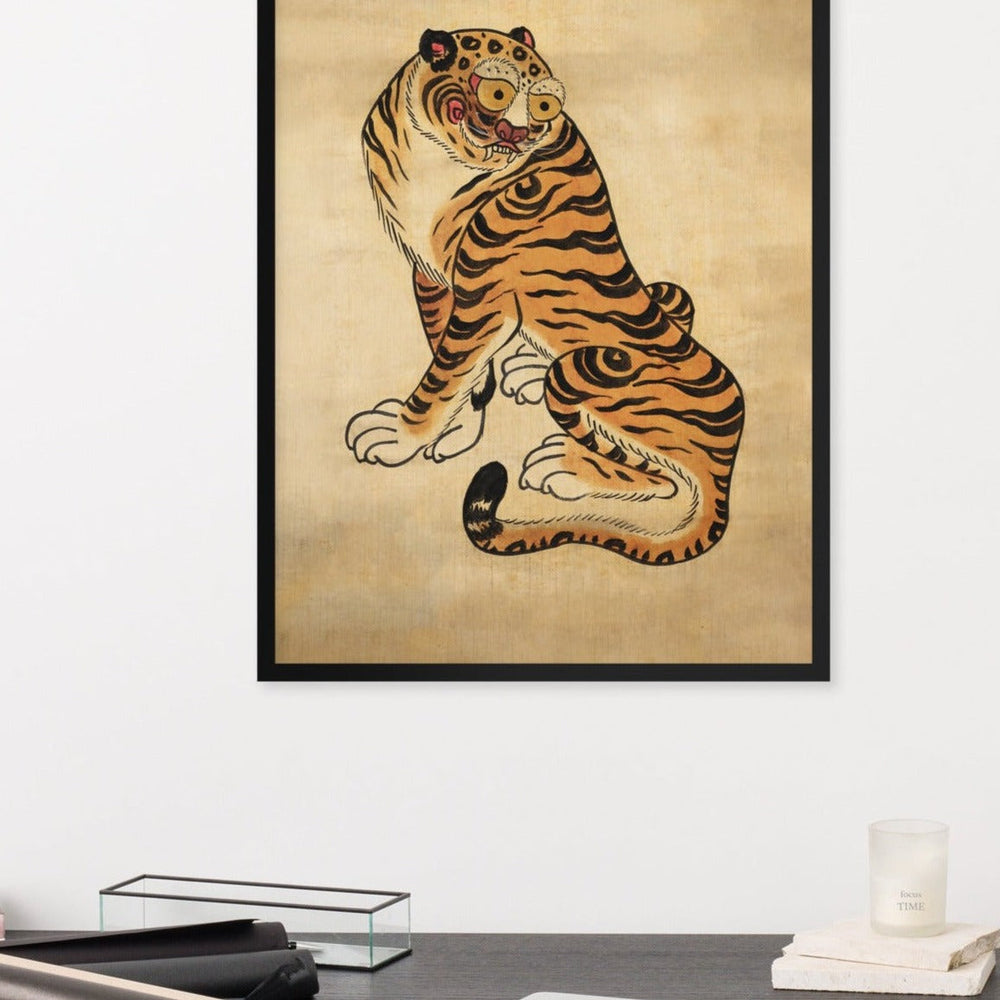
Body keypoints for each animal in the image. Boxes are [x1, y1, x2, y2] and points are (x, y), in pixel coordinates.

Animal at [346, 26, 744, 565]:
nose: (529, 126)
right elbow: (460, 370)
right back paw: (529, 372)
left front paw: (399, 435)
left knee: (663, 480)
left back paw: (564, 464)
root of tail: (728, 457)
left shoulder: (482, 294)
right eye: (498, 92)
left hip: (606, 377)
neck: (435, 151)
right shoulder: (430, 277)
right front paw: (457, 433)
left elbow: (443, 373)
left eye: (545, 101)